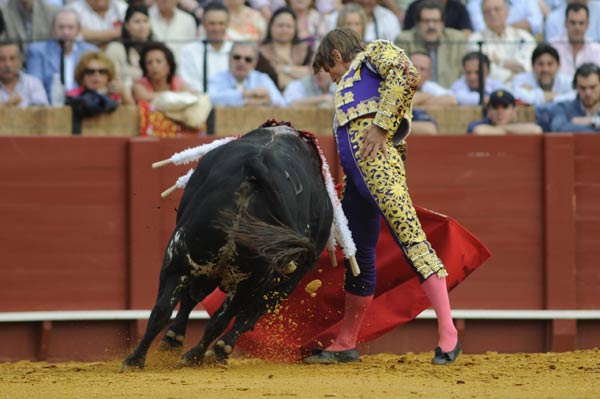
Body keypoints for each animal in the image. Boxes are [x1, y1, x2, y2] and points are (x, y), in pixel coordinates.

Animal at [121, 126, 332, 372]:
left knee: (165, 309)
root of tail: (257, 162)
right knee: (226, 317)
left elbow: (190, 300)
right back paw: (201, 354)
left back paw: (138, 360)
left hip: (180, 258)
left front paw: (174, 340)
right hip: (249, 277)